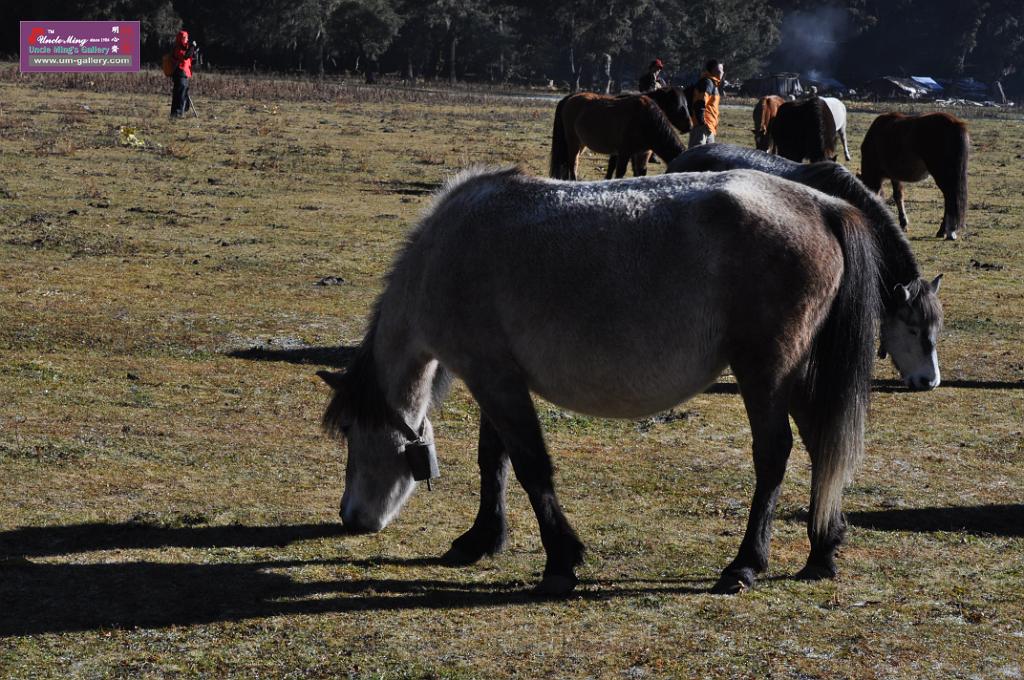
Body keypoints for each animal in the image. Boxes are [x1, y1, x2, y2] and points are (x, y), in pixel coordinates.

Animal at [313, 166, 942, 598]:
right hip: (796, 372)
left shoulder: (495, 379)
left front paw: (560, 562)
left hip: (765, 371)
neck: (450, 250)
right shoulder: (494, 377)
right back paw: (822, 551)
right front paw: (481, 539)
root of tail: (821, 204)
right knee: (819, 445)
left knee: (775, 454)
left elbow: (530, 465)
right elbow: (495, 458)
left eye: (351, 435)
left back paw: (745, 564)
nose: (351, 518)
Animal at [548, 87, 692, 180]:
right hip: (573, 142)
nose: (689, 126)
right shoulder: (624, 152)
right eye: (678, 107)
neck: (645, 119)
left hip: (581, 144)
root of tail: (569, 99)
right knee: (573, 164)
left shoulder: (642, 153)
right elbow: (619, 173)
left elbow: (640, 172)